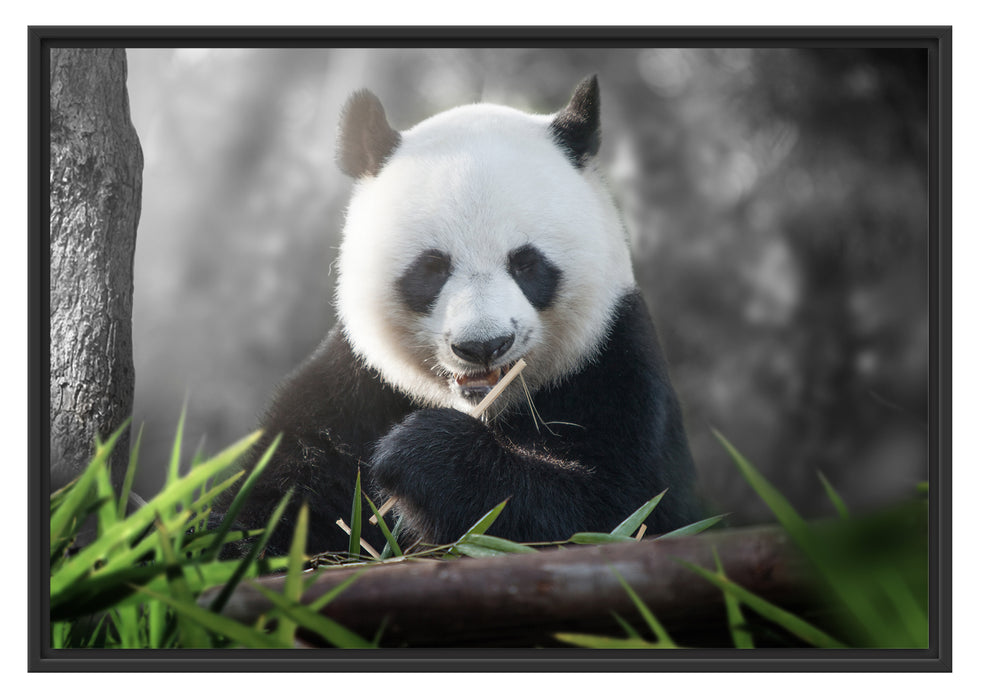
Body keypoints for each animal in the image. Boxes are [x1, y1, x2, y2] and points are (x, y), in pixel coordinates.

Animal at [217, 76, 702, 556]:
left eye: (526, 263)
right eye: (432, 267)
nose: (483, 345)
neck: (483, 407)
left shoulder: (613, 365)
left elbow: (618, 510)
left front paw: (422, 453)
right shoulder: (355, 387)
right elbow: (271, 497)